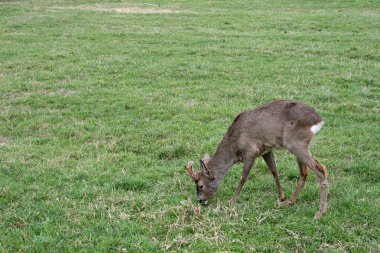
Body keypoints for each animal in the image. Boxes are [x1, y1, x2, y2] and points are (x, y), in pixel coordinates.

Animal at [186, 101, 328, 219]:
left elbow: (243, 177)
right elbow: (274, 171)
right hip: (299, 145)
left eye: (201, 185)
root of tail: (319, 120)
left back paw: (320, 212)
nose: (200, 200)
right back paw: (290, 202)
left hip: (295, 143)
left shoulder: (251, 151)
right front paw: (281, 197)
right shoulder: (266, 150)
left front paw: (231, 201)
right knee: (304, 173)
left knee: (321, 169)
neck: (234, 147)